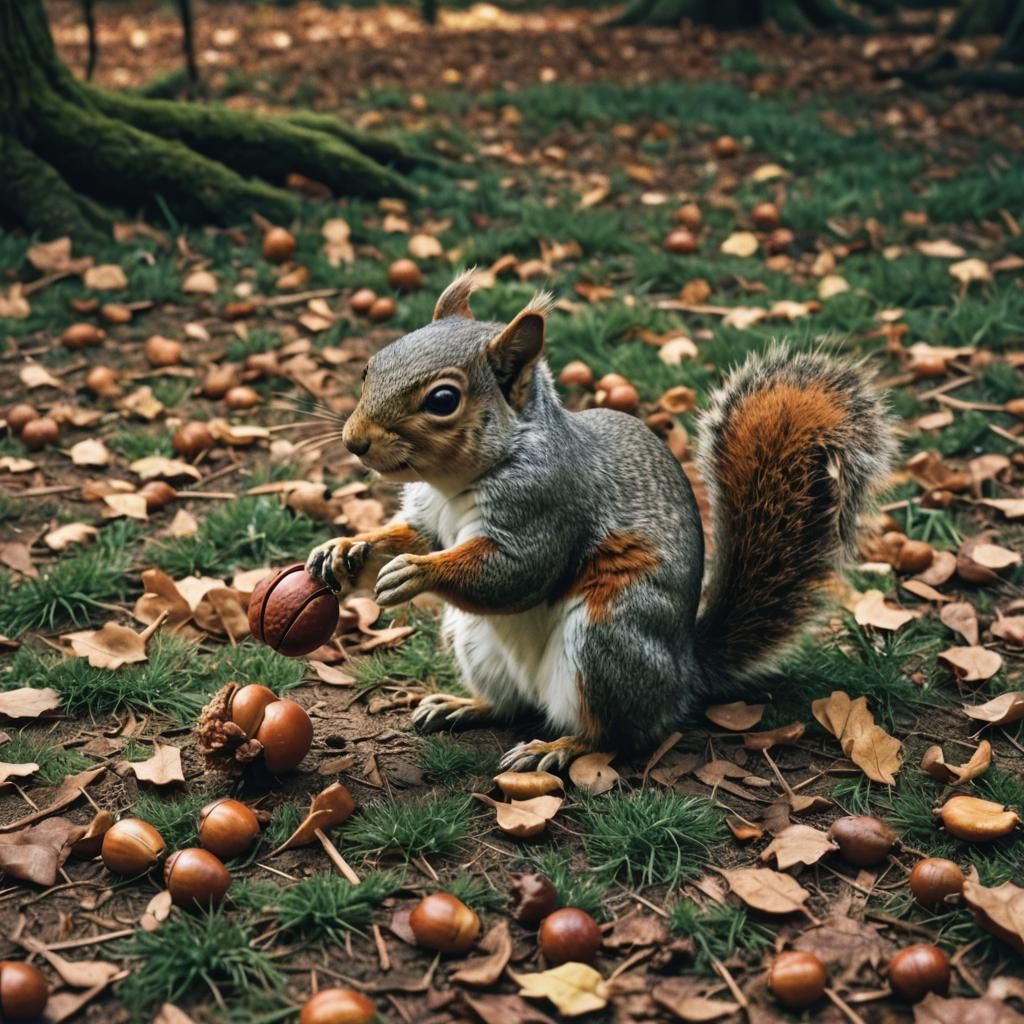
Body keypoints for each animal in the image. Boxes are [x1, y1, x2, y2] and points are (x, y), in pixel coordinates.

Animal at [306, 270, 895, 771]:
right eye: (371, 366)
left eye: (443, 400)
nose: (353, 441)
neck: (455, 483)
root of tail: (684, 675)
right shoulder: (430, 517)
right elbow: (412, 535)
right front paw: (345, 550)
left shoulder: (546, 505)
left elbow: (515, 573)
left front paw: (417, 572)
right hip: (473, 638)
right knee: (512, 705)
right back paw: (463, 705)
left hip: (606, 640)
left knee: (614, 735)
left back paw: (556, 748)